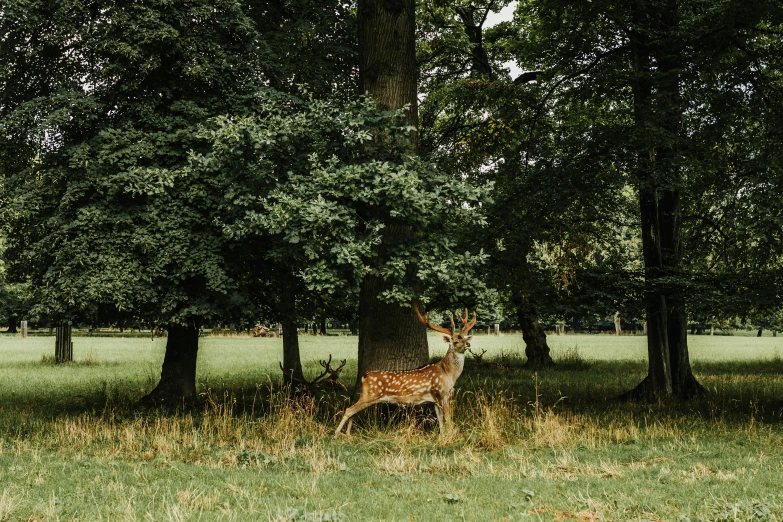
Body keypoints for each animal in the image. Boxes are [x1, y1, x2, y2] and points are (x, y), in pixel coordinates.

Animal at [332, 302, 474, 436]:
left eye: (464, 338)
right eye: (455, 342)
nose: (468, 344)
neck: (448, 374)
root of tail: (365, 376)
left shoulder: (436, 398)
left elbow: (441, 422)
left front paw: (442, 437)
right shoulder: (441, 393)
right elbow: (448, 420)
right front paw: (451, 436)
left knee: (352, 412)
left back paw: (348, 434)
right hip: (369, 395)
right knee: (348, 410)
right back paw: (336, 434)